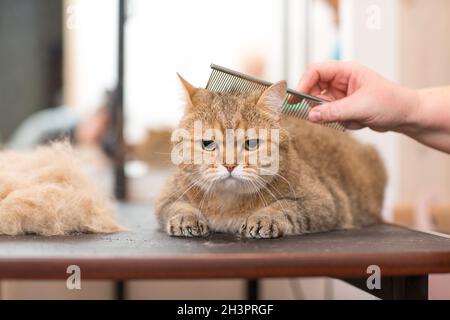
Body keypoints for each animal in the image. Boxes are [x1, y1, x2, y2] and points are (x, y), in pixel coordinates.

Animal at [156, 75, 386, 239]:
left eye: (251, 143)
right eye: (207, 144)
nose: (230, 165)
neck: (228, 205)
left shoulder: (326, 202)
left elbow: (286, 206)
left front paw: (265, 217)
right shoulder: (166, 196)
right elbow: (175, 205)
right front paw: (186, 216)